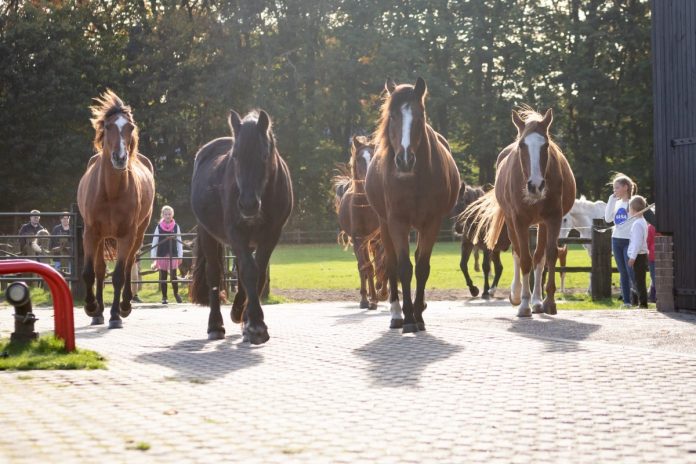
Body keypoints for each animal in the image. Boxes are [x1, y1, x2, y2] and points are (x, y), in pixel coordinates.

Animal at [78, 90, 156, 328]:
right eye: (109, 126)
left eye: (130, 127)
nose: (120, 158)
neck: (110, 191)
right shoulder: (91, 233)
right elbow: (89, 272)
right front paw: (91, 307)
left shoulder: (126, 235)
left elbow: (120, 275)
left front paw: (115, 315)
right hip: (101, 237)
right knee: (100, 269)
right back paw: (98, 313)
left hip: (138, 234)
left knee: (129, 264)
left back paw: (124, 306)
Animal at [189, 109, 292, 344]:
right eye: (235, 156)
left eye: (264, 156)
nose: (248, 204)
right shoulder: (236, 233)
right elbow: (249, 271)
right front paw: (255, 325)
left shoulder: (271, 235)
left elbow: (257, 273)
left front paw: (248, 319)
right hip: (208, 235)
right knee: (214, 274)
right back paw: (215, 325)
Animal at [364, 78, 462, 332]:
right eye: (393, 116)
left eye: (420, 117)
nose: (405, 160)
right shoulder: (397, 222)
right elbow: (403, 267)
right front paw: (408, 318)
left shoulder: (432, 223)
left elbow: (422, 267)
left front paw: (418, 314)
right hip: (385, 225)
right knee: (390, 264)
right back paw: (396, 314)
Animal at [468, 109, 576, 318]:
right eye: (522, 145)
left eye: (546, 145)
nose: (536, 185)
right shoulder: (519, 221)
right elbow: (524, 258)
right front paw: (524, 303)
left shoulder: (553, 219)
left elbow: (549, 255)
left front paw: (548, 301)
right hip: (511, 223)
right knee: (517, 253)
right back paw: (517, 294)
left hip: (541, 224)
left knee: (539, 257)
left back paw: (537, 301)